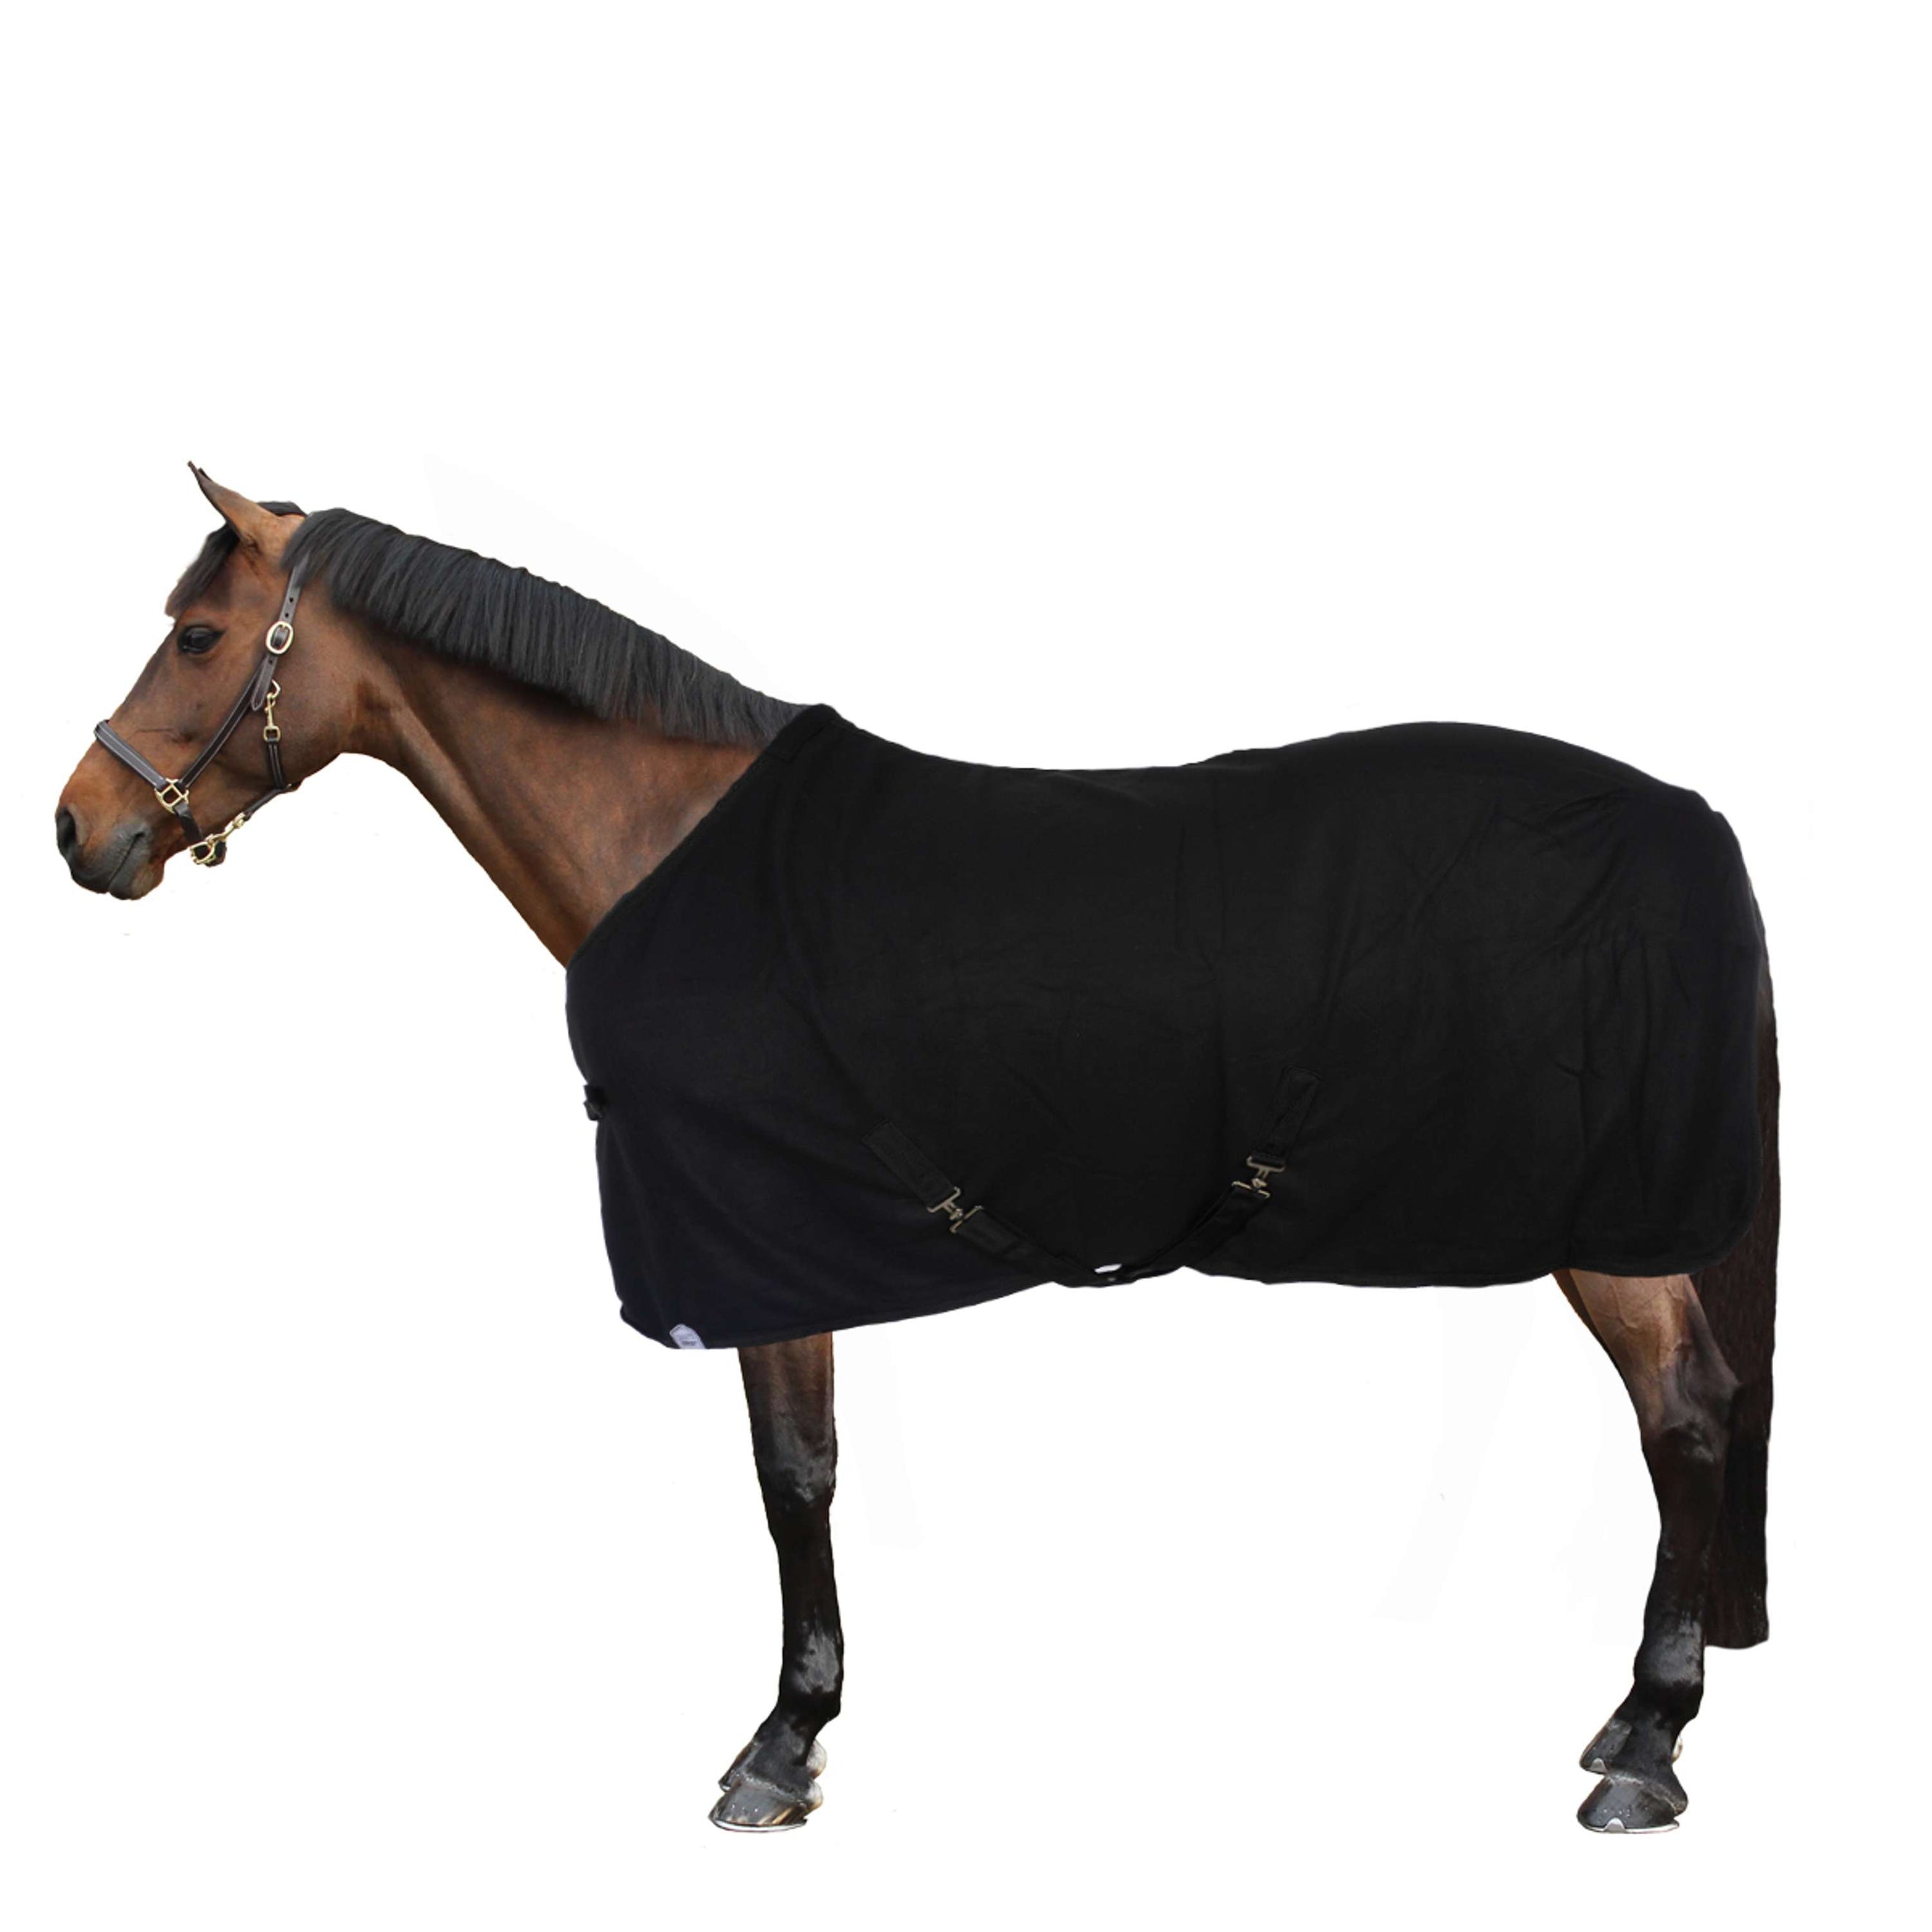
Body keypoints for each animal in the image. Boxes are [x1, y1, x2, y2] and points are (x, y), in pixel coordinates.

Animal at [55, 468, 1779, 1836]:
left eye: (199, 636)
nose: (80, 830)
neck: (679, 859)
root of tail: (1684, 823)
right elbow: (799, 1469)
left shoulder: (757, 1238)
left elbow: (792, 1477)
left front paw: (781, 1744)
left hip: (1611, 1221)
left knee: (1688, 1413)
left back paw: (1648, 1749)